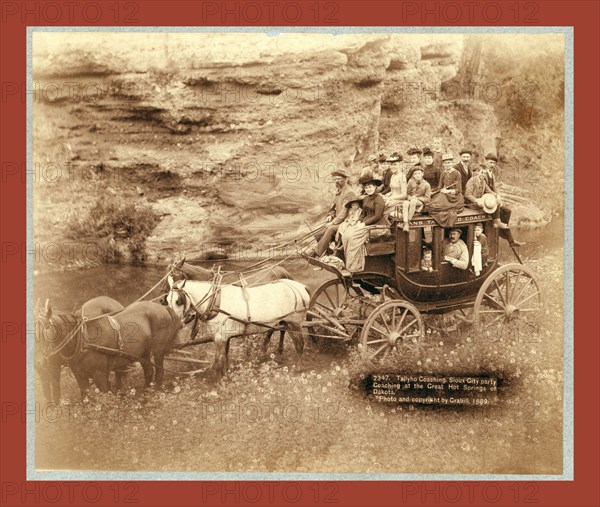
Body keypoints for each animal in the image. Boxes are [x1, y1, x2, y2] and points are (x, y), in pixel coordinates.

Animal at [36, 298, 182, 400]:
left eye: (47, 329)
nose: (39, 362)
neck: (82, 340)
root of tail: (163, 307)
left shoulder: (100, 375)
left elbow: (105, 399)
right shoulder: (80, 376)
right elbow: (86, 399)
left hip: (158, 351)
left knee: (159, 372)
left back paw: (155, 393)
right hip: (143, 353)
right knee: (148, 372)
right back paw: (145, 395)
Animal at [168, 274, 312, 378]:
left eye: (178, 301)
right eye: (166, 300)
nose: (174, 323)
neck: (215, 301)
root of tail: (301, 287)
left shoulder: (220, 338)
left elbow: (218, 360)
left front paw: (219, 381)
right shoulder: (223, 337)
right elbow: (225, 357)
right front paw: (225, 376)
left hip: (295, 323)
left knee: (300, 345)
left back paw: (298, 369)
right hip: (285, 322)